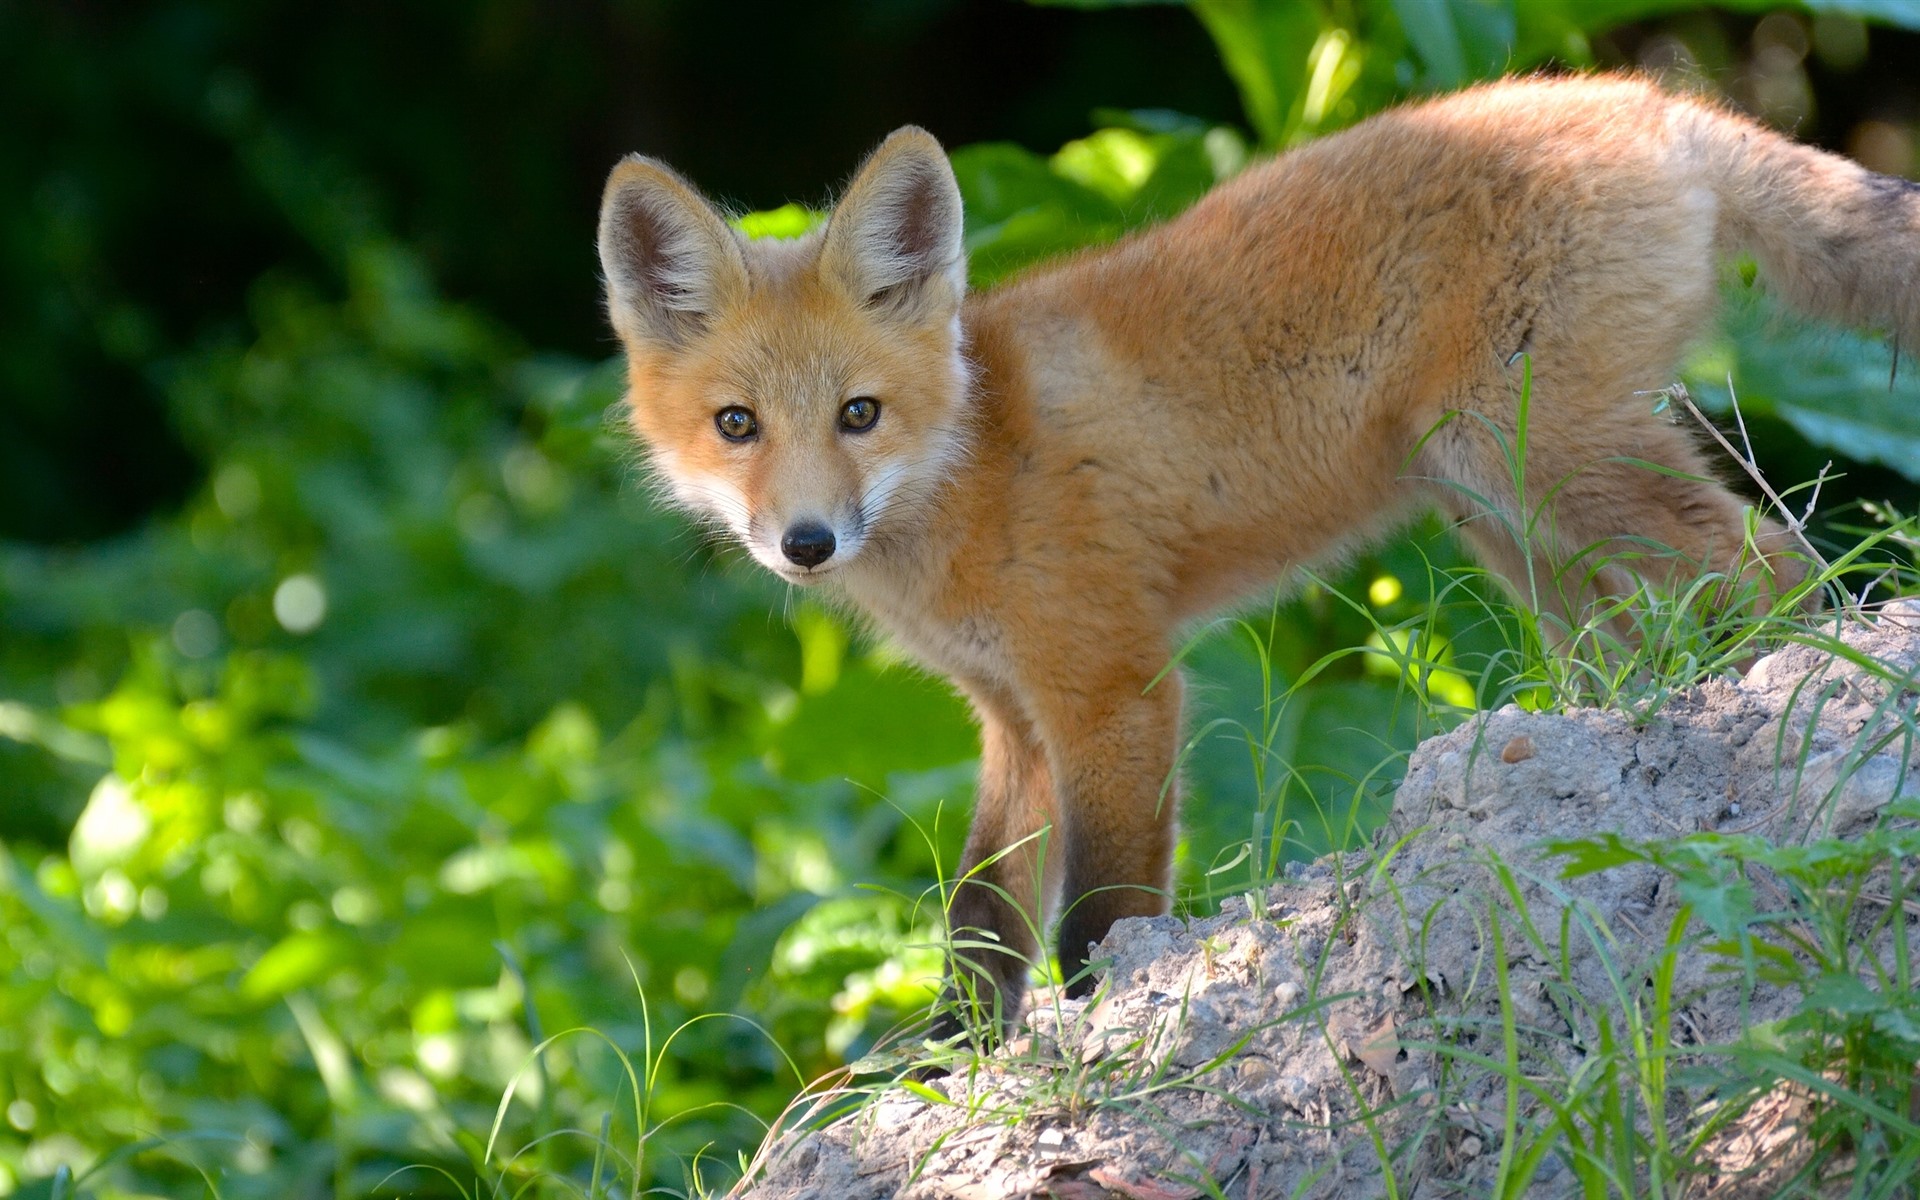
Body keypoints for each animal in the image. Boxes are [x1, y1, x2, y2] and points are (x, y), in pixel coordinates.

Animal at [595, 74, 1920, 1029]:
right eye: (737, 426)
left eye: (859, 414)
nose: (806, 542)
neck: (974, 458)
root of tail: (1651, 99)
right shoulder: (1012, 720)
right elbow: (979, 923)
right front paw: (946, 1064)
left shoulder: (1117, 689)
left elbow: (1098, 917)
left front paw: (1104, 1030)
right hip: (1505, 513)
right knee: (1653, 629)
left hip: (1551, 463)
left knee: (1778, 564)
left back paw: (1797, 708)